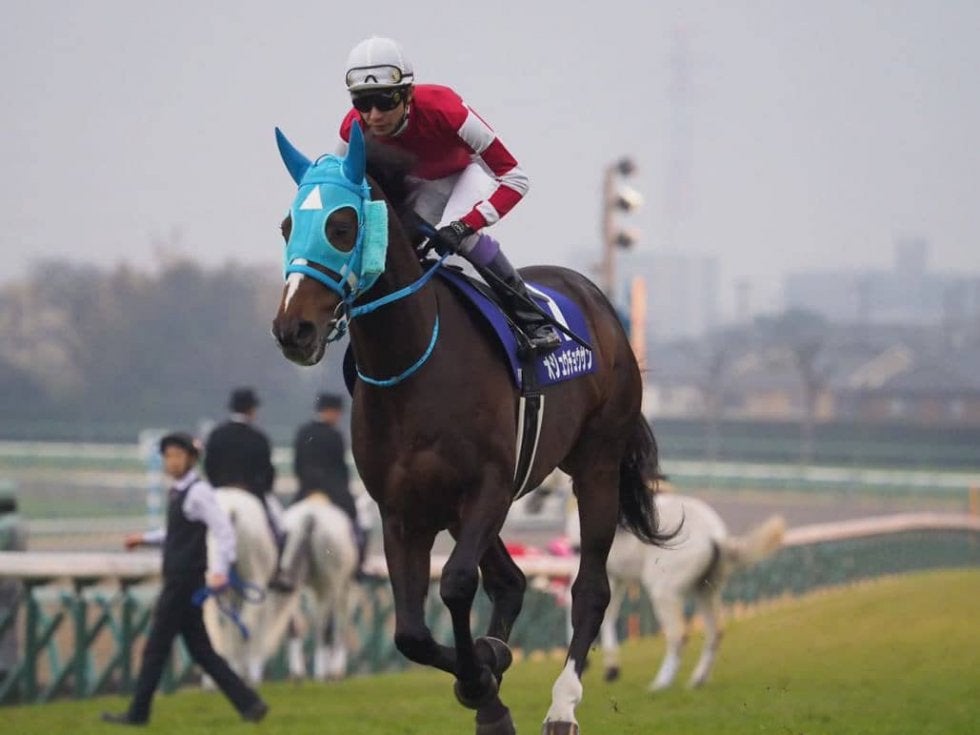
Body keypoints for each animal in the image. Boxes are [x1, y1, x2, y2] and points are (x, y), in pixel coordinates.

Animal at [261, 495, 359, 681]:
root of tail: (310, 517)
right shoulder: (339, 585)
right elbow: (337, 622)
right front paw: (334, 669)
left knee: (297, 622)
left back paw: (298, 672)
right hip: (330, 584)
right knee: (324, 623)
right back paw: (323, 671)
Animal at [568, 493, 784, 691]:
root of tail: (715, 535)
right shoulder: (616, 576)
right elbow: (607, 614)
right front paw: (609, 668)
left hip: (664, 591)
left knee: (678, 634)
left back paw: (662, 682)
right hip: (705, 589)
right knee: (715, 631)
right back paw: (698, 679)